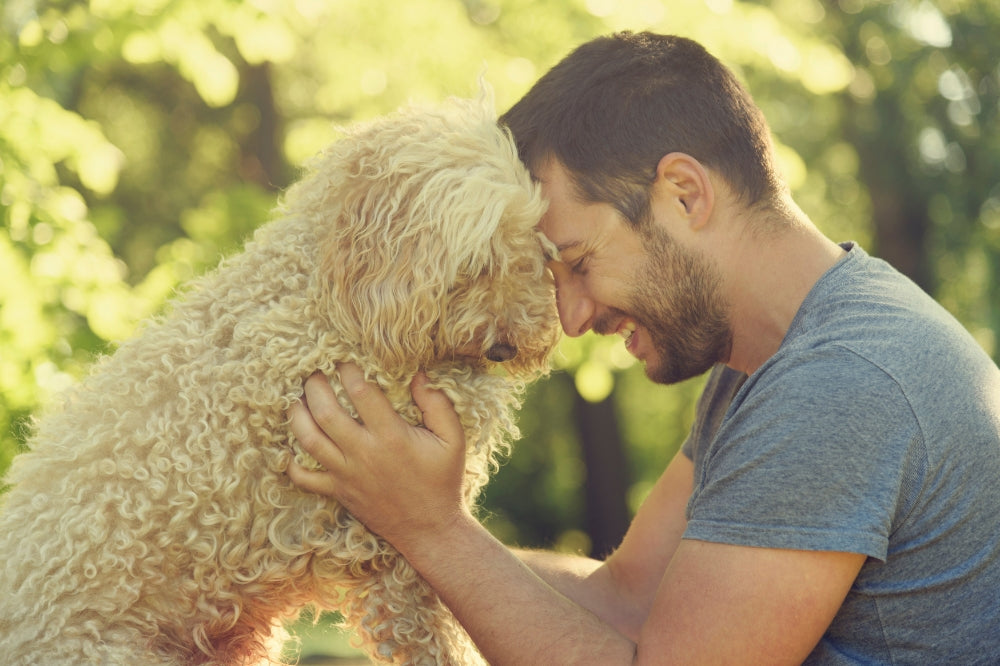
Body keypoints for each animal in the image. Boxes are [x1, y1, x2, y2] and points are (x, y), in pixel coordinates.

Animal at [0, 88, 564, 664]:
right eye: (476, 263)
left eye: (534, 246)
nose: (507, 347)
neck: (324, 296)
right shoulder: (394, 542)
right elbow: (433, 638)